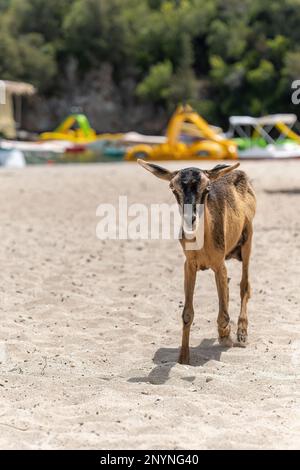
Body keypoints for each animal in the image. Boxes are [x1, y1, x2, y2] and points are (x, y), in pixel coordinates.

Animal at [138, 160, 255, 366]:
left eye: (207, 188)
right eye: (173, 187)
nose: (189, 219)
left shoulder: (219, 264)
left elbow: (224, 315)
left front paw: (226, 336)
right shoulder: (189, 265)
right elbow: (187, 314)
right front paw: (183, 358)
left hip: (247, 239)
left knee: (244, 285)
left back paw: (241, 333)